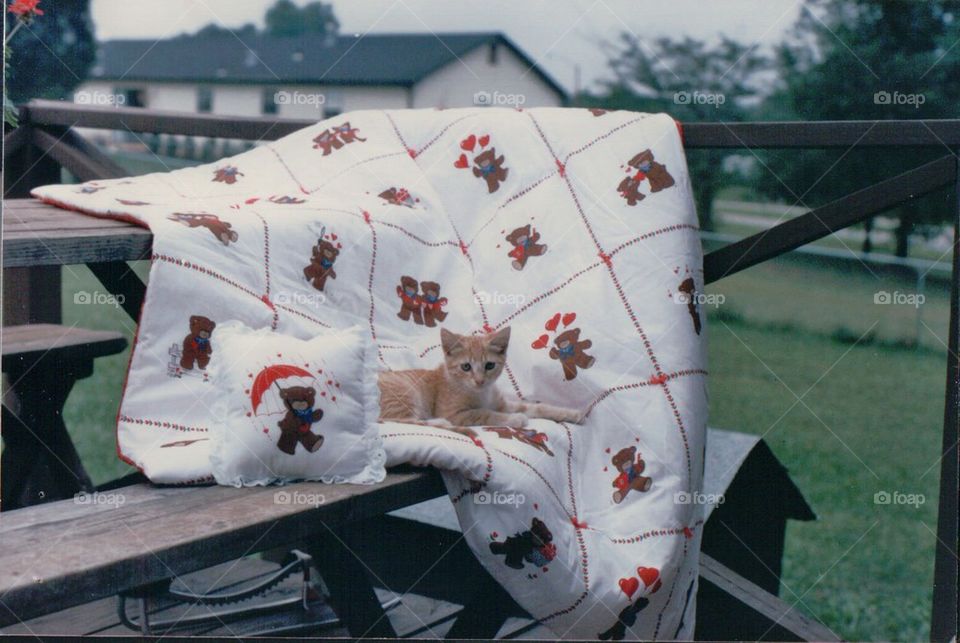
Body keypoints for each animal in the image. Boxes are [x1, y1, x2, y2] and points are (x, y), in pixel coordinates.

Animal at [378, 330, 580, 430]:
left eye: (489, 365)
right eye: (466, 367)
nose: (479, 381)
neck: (482, 393)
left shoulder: (501, 403)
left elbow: (536, 407)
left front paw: (571, 413)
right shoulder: (453, 413)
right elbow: (483, 412)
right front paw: (514, 419)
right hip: (403, 394)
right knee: (395, 420)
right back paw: (438, 423)